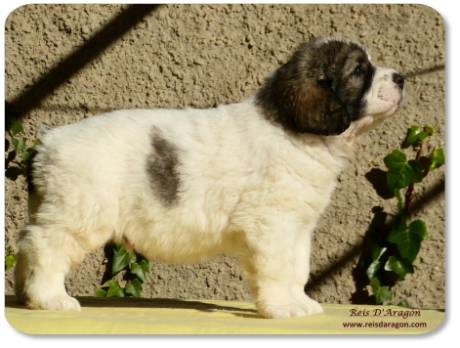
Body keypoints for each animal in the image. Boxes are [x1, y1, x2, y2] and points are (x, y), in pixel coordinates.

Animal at [14, 37, 404, 318]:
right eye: (359, 70)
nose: (401, 77)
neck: (294, 131)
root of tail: (47, 142)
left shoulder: (297, 227)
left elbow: (298, 269)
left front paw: (300, 303)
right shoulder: (271, 226)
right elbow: (279, 269)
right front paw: (283, 308)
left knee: (26, 246)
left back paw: (24, 298)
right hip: (77, 214)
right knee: (45, 249)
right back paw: (50, 299)